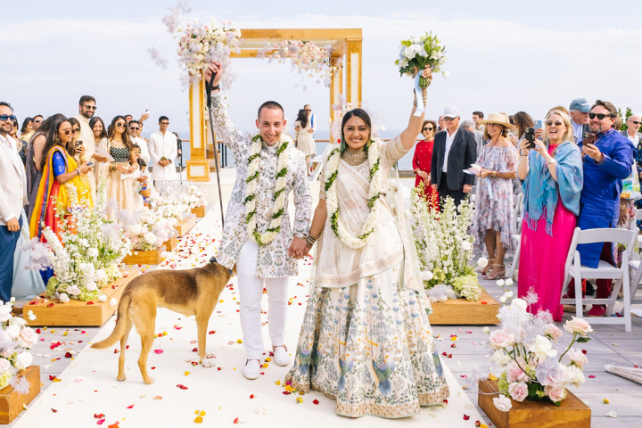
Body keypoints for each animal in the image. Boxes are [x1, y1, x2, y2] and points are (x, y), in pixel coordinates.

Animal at [91, 260, 234, 386]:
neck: (216, 272)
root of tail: (129, 288)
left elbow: (200, 344)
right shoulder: (202, 320)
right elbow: (202, 344)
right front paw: (204, 362)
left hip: (126, 328)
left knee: (121, 356)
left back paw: (121, 377)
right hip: (149, 331)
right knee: (141, 361)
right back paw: (148, 381)